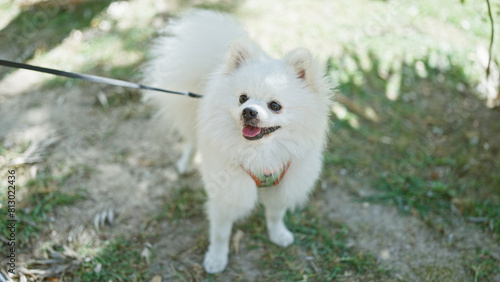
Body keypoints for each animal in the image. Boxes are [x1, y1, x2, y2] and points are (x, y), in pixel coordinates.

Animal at [144, 9, 332, 272]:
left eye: (275, 105)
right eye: (243, 98)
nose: (249, 111)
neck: (261, 154)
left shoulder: (284, 184)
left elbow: (275, 214)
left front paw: (278, 234)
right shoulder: (228, 194)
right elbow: (221, 233)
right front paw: (216, 258)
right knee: (193, 141)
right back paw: (185, 163)